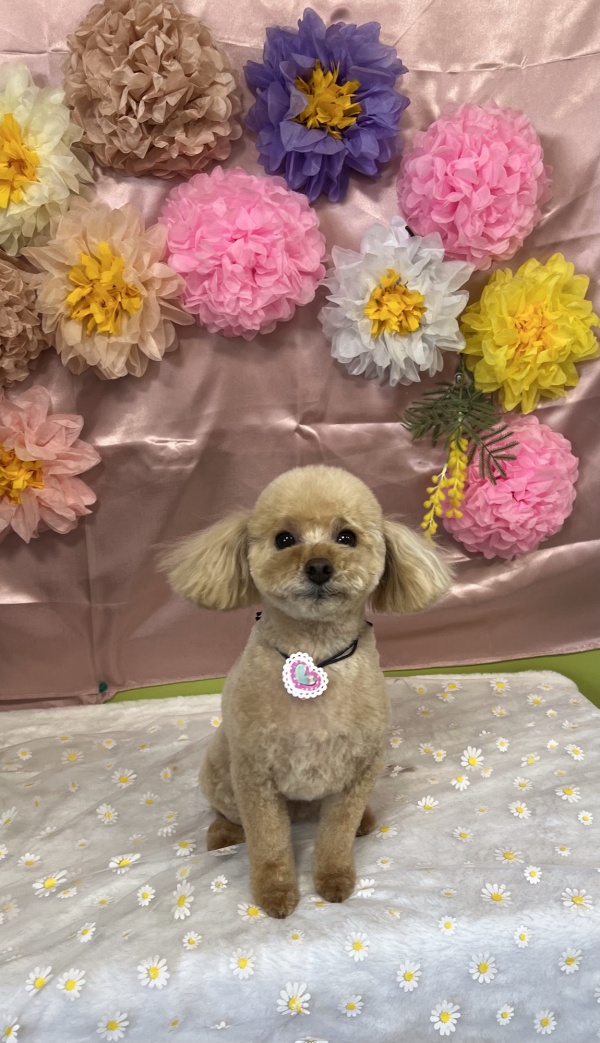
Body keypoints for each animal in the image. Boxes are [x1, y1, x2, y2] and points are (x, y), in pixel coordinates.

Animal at [162, 465, 452, 918]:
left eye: (346, 537)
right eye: (284, 539)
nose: (318, 566)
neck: (316, 653)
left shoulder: (358, 772)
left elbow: (336, 834)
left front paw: (333, 880)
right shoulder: (255, 776)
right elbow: (268, 843)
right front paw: (275, 893)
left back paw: (364, 821)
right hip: (219, 773)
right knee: (229, 814)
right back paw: (222, 833)